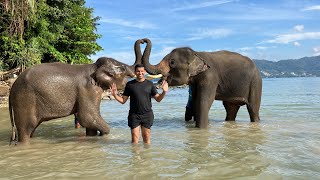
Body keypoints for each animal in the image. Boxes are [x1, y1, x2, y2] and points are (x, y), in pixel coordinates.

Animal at [8, 38, 146, 144]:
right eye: (123, 69)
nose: (143, 41)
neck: (94, 67)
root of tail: (12, 87)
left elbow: (89, 122)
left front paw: (93, 137)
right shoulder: (88, 89)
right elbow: (87, 117)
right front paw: (104, 134)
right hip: (25, 100)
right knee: (26, 129)